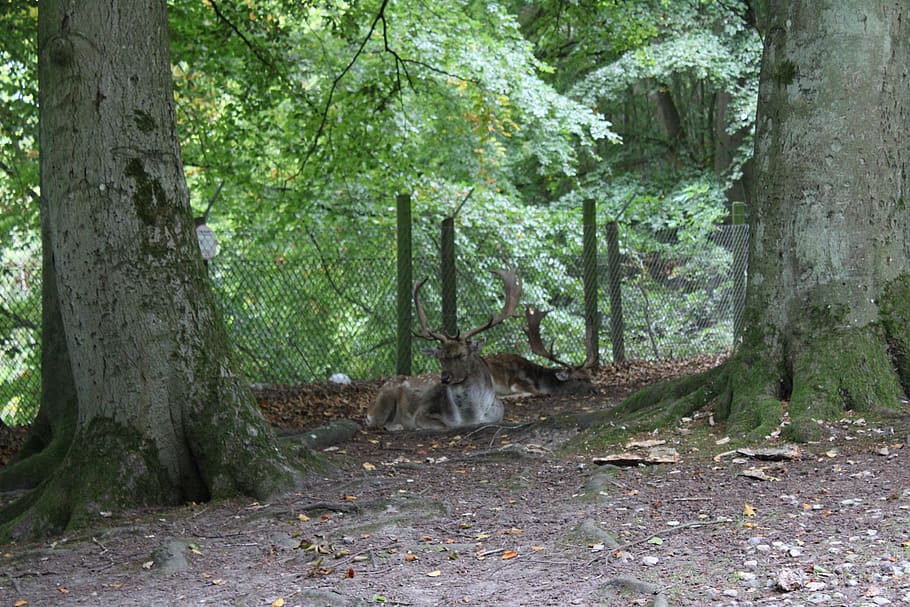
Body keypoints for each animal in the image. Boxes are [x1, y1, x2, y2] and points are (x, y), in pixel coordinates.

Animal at [366, 267, 522, 431]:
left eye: (462, 355)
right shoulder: (422, 412)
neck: (470, 418)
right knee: (376, 424)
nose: (445, 377)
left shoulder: (499, 414)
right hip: (384, 400)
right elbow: (445, 426)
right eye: (440, 357)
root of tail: (370, 406)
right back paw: (397, 426)